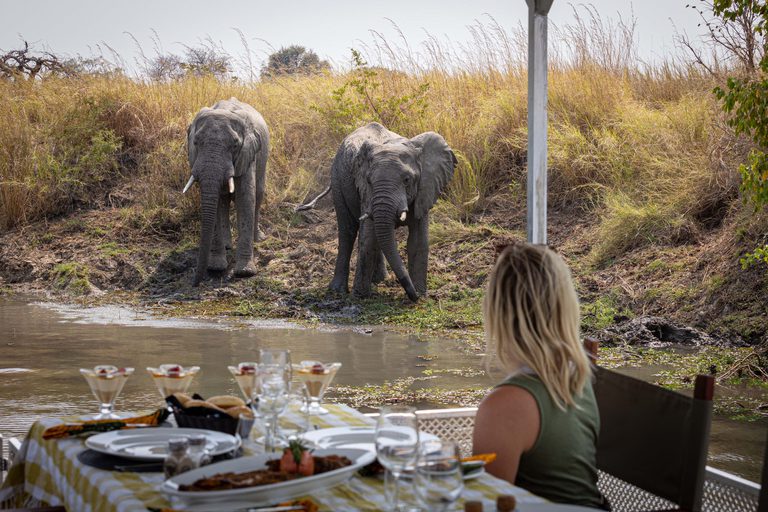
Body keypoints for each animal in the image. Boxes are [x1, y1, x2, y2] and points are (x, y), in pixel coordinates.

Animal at [183, 98, 269, 285]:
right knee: (223, 202)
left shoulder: (247, 154)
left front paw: (245, 272)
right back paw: (228, 246)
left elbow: (246, 198)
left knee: (258, 194)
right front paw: (216, 268)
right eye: (195, 142)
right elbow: (215, 204)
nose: (195, 283)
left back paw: (258, 239)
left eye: (235, 145)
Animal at [298, 122, 456, 302]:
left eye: (407, 180)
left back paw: (380, 280)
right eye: (368, 181)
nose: (413, 296)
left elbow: (418, 241)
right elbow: (368, 239)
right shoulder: (366, 193)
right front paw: (360, 296)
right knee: (347, 232)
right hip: (337, 178)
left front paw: (420, 295)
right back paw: (338, 290)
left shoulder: (424, 190)